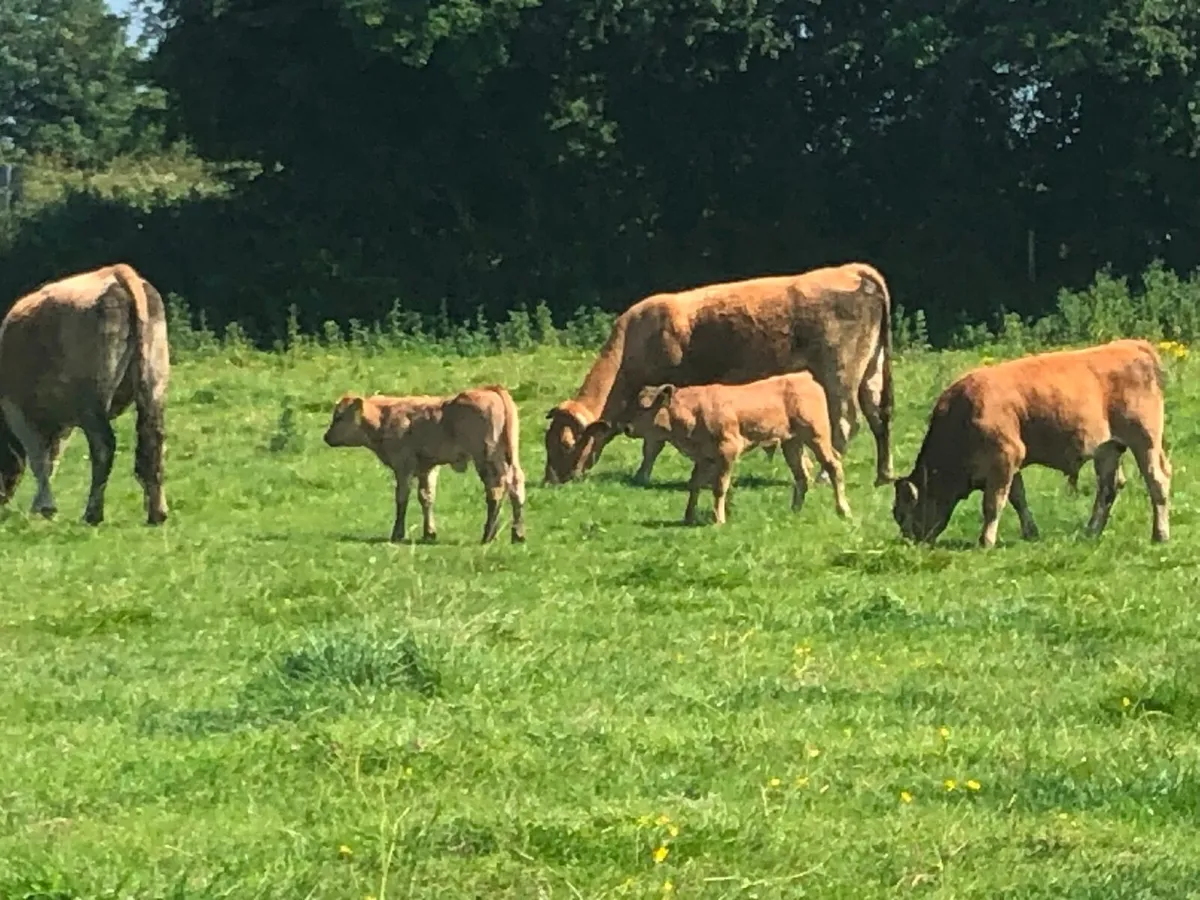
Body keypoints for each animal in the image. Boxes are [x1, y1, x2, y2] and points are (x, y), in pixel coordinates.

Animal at [0, 263, 169, 526]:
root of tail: (116, 272)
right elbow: (51, 458)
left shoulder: (15, 408)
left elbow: (39, 459)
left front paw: (44, 506)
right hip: (154, 383)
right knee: (153, 440)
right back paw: (157, 513)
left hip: (92, 402)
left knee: (104, 447)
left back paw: (92, 513)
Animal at [323, 385, 527, 544]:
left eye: (339, 417)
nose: (326, 437)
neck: (385, 417)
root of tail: (491, 388)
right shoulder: (428, 467)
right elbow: (426, 497)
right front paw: (429, 533)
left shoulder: (403, 465)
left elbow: (402, 497)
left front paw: (398, 533)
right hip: (510, 456)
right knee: (516, 485)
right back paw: (517, 534)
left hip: (485, 457)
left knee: (496, 489)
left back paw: (488, 535)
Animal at [543, 262, 894, 489]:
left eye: (565, 445)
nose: (551, 481)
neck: (637, 340)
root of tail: (854, 270)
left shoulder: (664, 394)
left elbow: (653, 442)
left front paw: (642, 475)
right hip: (872, 371)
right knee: (879, 418)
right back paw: (883, 474)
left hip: (839, 375)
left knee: (846, 424)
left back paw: (824, 475)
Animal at [584, 372, 850, 526]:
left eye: (642, 407)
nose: (626, 426)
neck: (694, 411)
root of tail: (804, 377)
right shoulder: (703, 457)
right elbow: (694, 484)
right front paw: (689, 516)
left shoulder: (727, 452)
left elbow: (719, 486)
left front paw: (717, 518)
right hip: (791, 443)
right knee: (801, 476)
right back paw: (794, 511)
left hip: (816, 436)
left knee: (833, 466)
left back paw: (843, 510)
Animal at [892, 339, 1171, 548]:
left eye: (902, 513)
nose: (911, 541)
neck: (962, 414)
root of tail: (1133, 346)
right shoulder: (1009, 463)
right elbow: (1018, 497)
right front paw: (1030, 532)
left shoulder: (1005, 457)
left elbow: (993, 503)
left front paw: (986, 541)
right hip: (1108, 449)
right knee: (1108, 488)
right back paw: (1091, 531)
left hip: (1145, 441)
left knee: (1157, 480)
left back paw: (1160, 535)